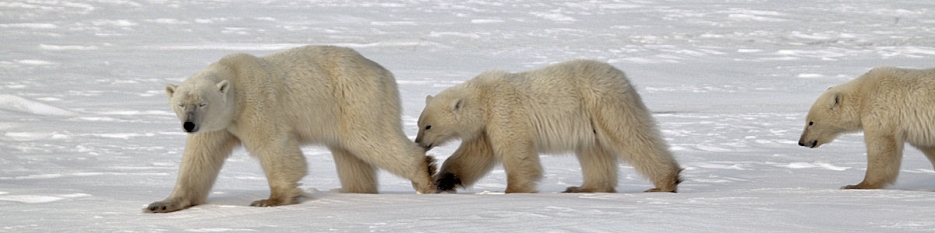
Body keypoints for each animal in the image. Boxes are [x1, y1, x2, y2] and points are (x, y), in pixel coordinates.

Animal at [146, 45, 438, 213]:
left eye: (202, 103)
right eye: (181, 103)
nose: (189, 124)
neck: (235, 79)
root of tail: (383, 72)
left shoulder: (256, 105)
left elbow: (275, 146)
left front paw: (270, 200)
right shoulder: (218, 125)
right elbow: (199, 160)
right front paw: (161, 204)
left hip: (356, 97)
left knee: (371, 139)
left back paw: (424, 177)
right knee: (350, 156)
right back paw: (355, 191)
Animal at [414, 59, 684, 193]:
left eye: (427, 126)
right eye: (419, 123)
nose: (418, 143)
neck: (484, 96)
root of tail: (623, 78)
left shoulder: (504, 111)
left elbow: (514, 150)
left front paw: (515, 189)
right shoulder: (487, 125)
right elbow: (474, 154)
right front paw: (443, 179)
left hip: (604, 104)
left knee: (631, 137)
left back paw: (665, 182)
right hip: (590, 121)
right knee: (593, 151)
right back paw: (584, 188)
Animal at [796, 65, 935, 189]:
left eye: (811, 122)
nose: (801, 142)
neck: (862, 93)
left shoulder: (880, 110)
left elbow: (881, 147)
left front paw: (857, 185)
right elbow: (929, 147)